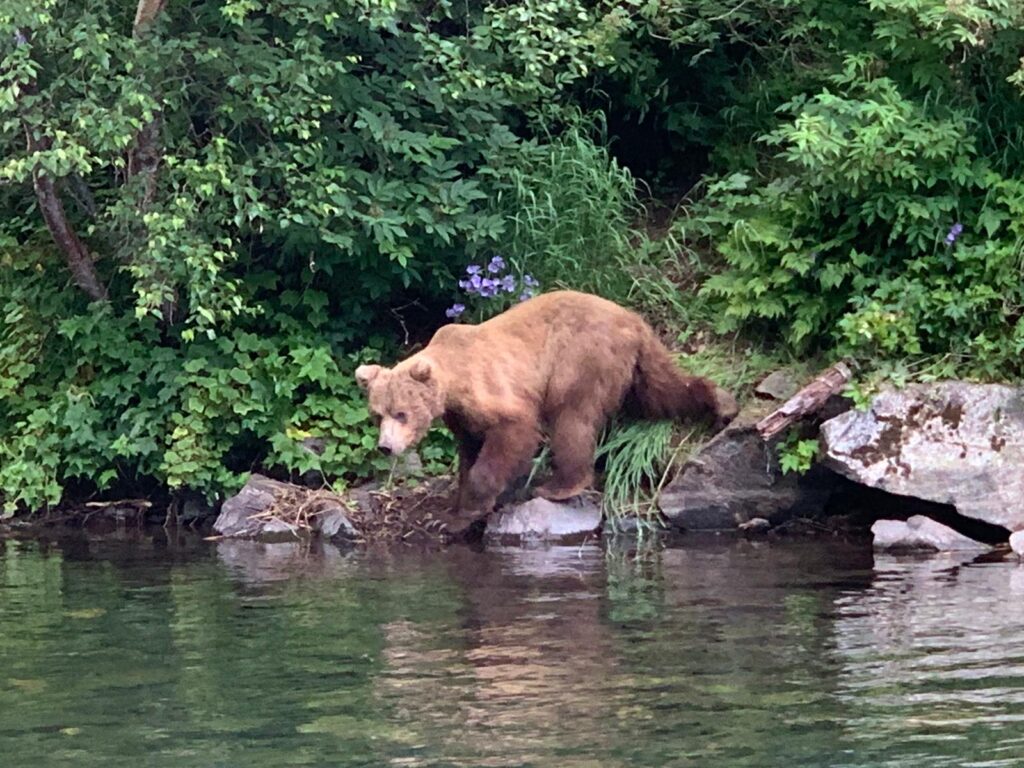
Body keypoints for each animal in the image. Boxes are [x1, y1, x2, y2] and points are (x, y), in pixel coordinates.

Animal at [356, 290, 738, 533]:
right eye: (377, 414)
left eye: (401, 413)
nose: (386, 446)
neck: (453, 384)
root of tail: (631, 318)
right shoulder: (462, 418)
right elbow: (469, 451)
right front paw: (453, 513)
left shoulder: (493, 388)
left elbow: (514, 431)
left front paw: (470, 508)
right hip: (632, 364)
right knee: (661, 390)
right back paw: (722, 402)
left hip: (579, 358)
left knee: (573, 419)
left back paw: (558, 486)